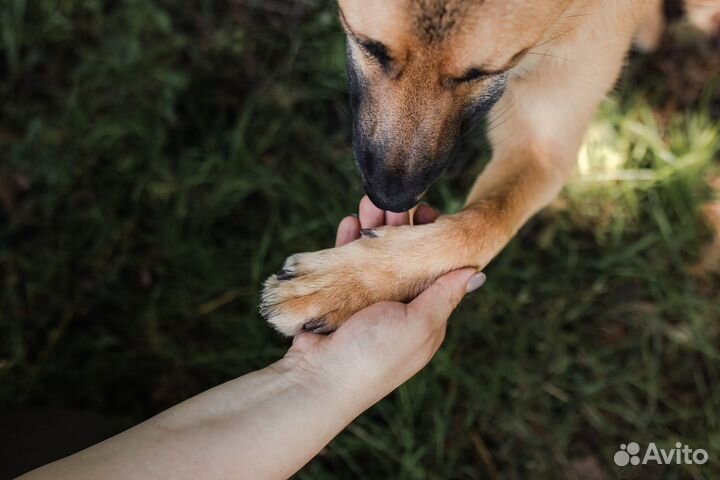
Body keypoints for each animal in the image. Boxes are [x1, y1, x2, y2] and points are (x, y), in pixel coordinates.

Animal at [262, 0, 720, 336]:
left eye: (479, 73)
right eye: (370, 46)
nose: (390, 197)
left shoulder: (544, 145)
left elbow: (485, 225)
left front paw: (345, 284)